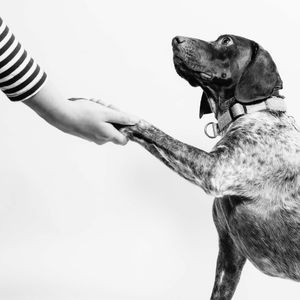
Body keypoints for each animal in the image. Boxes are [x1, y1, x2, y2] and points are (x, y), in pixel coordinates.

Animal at [120, 34, 300, 298]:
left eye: (226, 41)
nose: (175, 39)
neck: (251, 112)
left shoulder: (213, 169)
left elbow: (153, 131)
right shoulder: (229, 253)